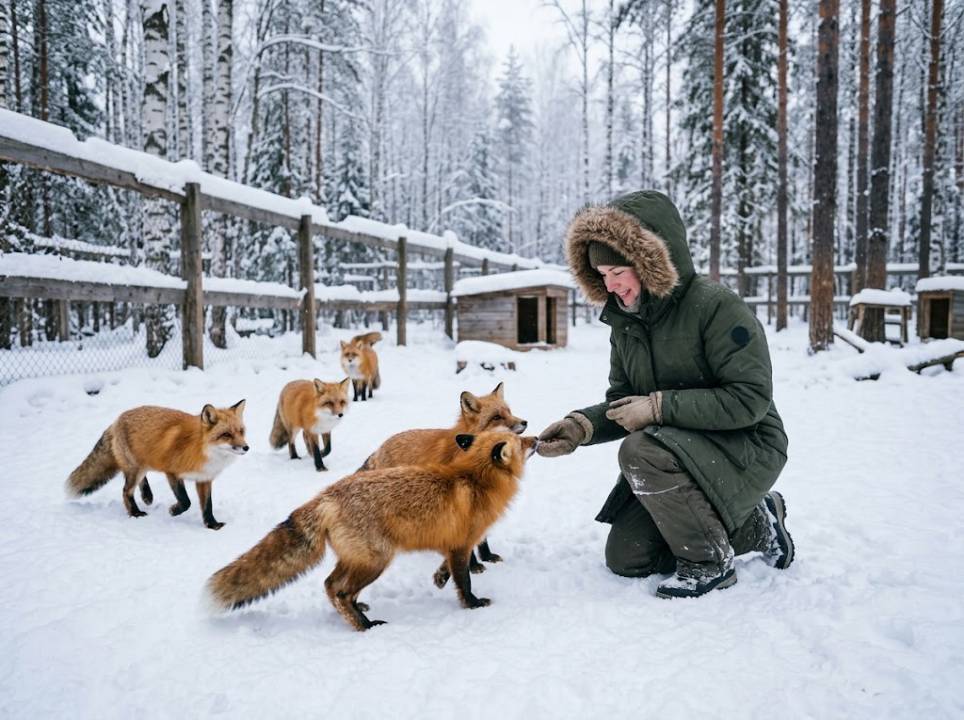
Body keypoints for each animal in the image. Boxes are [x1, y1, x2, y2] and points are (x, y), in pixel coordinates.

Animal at [65, 400, 248, 530]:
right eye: (226, 434)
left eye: (241, 431)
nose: (246, 447)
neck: (202, 449)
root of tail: (116, 420)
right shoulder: (172, 473)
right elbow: (186, 501)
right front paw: (173, 511)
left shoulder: (204, 478)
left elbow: (207, 506)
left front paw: (212, 525)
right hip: (135, 469)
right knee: (126, 491)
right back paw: (135, 513)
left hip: (141, 466)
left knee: (138, 483)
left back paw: (147, 496)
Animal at [205, 431, 539, 631]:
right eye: (520, 441)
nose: (536, 437)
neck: (476, 479)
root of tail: (326, 496)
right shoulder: (461, 545)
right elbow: (465, 581)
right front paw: (472, 605)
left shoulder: (454, 543)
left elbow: (447, 569)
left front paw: (439, 579)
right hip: (376, 560)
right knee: (340, 590)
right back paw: (365, 626)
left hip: (356, 559)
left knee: (330, 585)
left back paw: (356, 613)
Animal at [360, 381, 527, 586]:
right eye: (497, 417)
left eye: (509, 412)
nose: (525, 422)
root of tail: (379, 448)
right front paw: (473, 565)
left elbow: (481, 536)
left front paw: (487, 556)